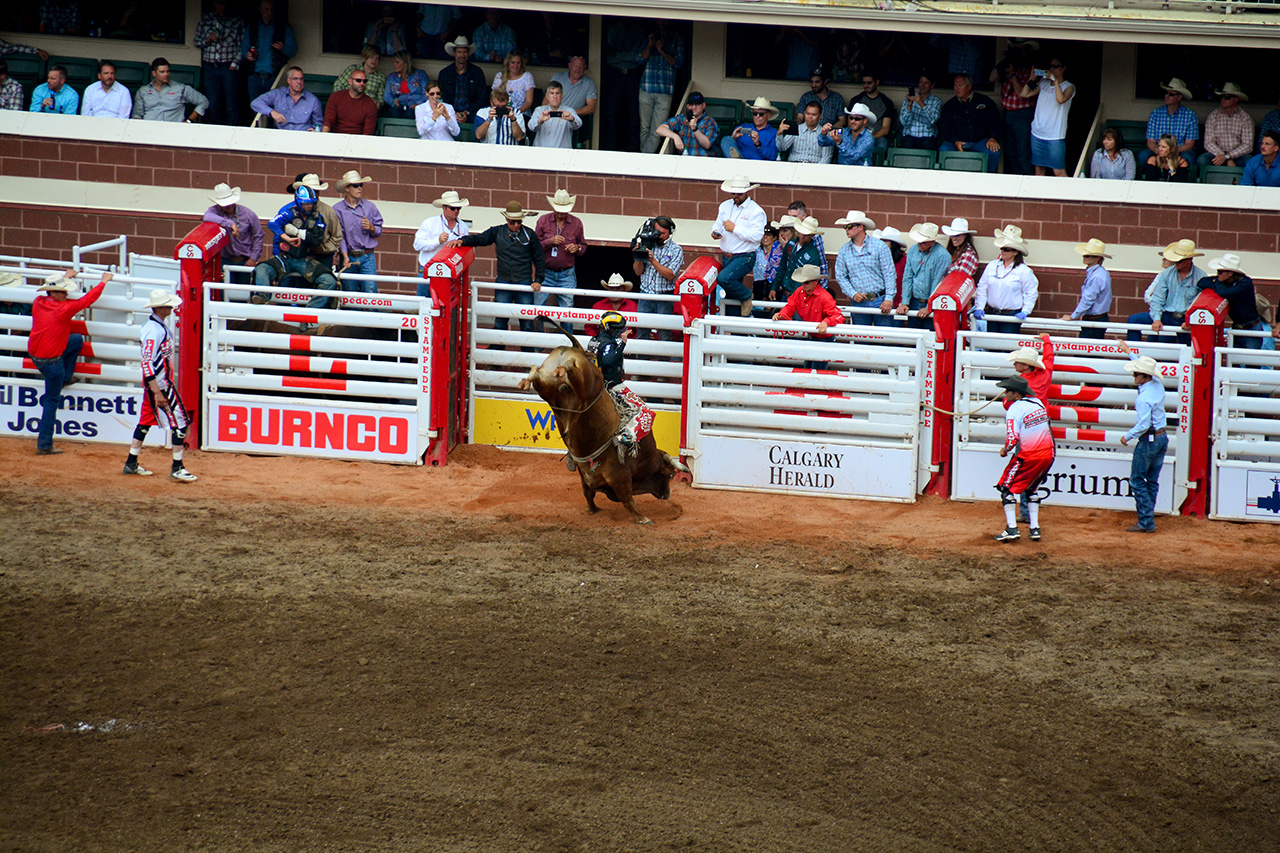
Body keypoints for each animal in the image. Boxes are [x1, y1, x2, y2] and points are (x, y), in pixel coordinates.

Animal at [514, 317, 686, 522]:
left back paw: (531, 379)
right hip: (583, 382)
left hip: (546, 387)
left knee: (537, 374)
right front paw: (642, 519)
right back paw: (564, 368)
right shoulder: (620, 476)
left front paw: (592, 510)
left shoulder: (585, 475)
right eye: (668, 476)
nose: (668, 494)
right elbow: (628, 500)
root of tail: (577, 349)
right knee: (571, 369)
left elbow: (588, 493)